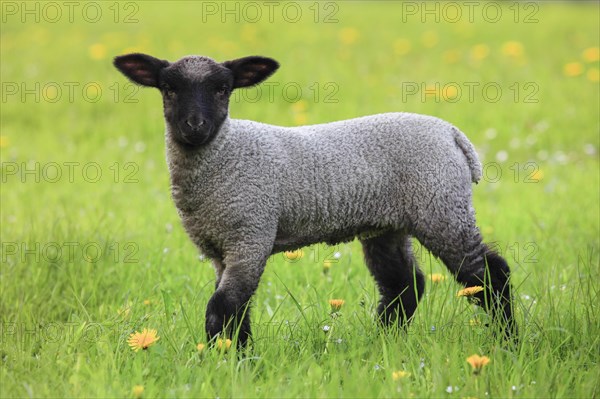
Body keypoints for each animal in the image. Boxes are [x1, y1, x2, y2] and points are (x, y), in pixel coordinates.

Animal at [115, 53, 516, 346]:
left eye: (223, 88)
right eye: (168, 88)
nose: (194, 126)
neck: (226, 153)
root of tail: (451, 134)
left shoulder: (250, 234)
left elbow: (224, 306)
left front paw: (230, 361)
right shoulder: (220, 249)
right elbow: (234, 309)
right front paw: (235, 354)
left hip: (441, 207)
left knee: (490, 274)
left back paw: (507, 340)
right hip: (388, 224)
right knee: (404, 285)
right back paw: (383, 343)